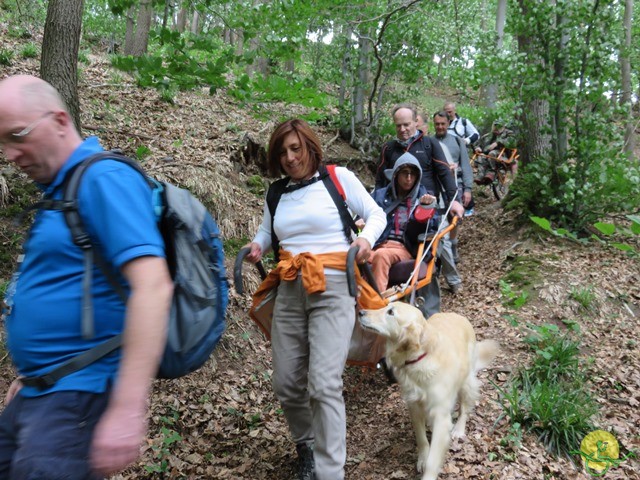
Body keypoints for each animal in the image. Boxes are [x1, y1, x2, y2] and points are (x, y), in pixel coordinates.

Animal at [358, 304, 498, 480]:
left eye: (391, 312)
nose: (360, 312)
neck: (420, 358)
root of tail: (457, 315)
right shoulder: (414, 406)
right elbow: (421, 438)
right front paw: (422, 459)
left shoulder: (441, 415)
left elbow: (433, 459)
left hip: (466, 382)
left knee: (465, 408)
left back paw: (459, 430)